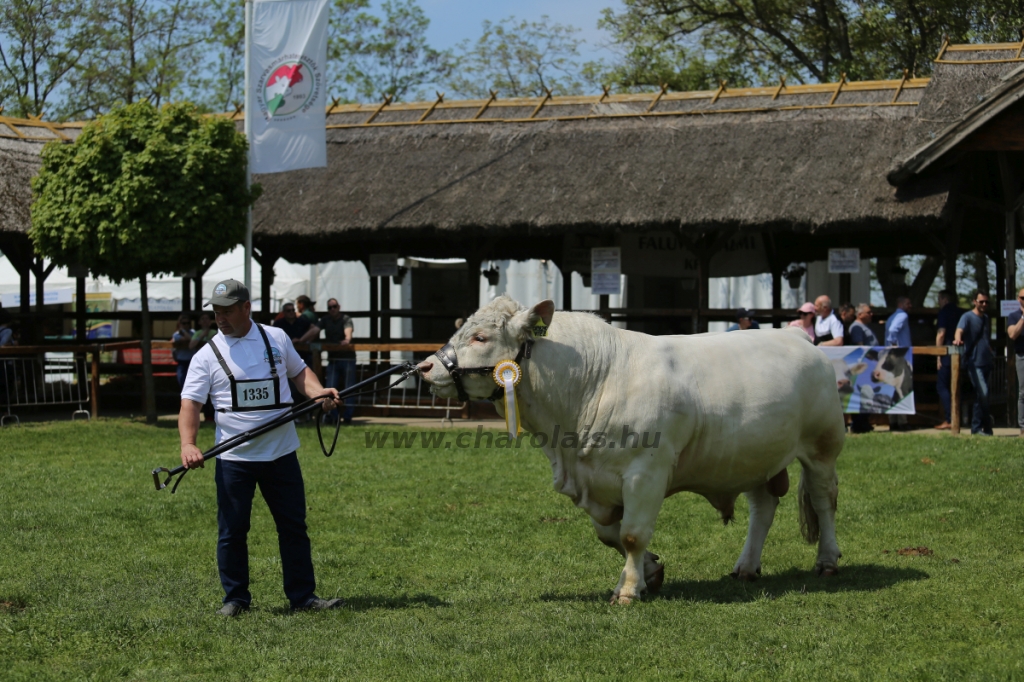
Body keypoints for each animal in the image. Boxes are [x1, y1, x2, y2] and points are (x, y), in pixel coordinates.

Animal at [417, 294, 847, 602]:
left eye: (480, 337)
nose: (424, 368)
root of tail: (796, 336)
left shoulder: (646, 472)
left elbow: (632, 535)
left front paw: (626, 590)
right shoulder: (595, 481)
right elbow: (609, 533)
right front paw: (650, 572)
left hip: (822, 447)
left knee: (824, 500)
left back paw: (827, 560)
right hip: (754, 456)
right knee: (763, 507)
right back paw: (746, 566)